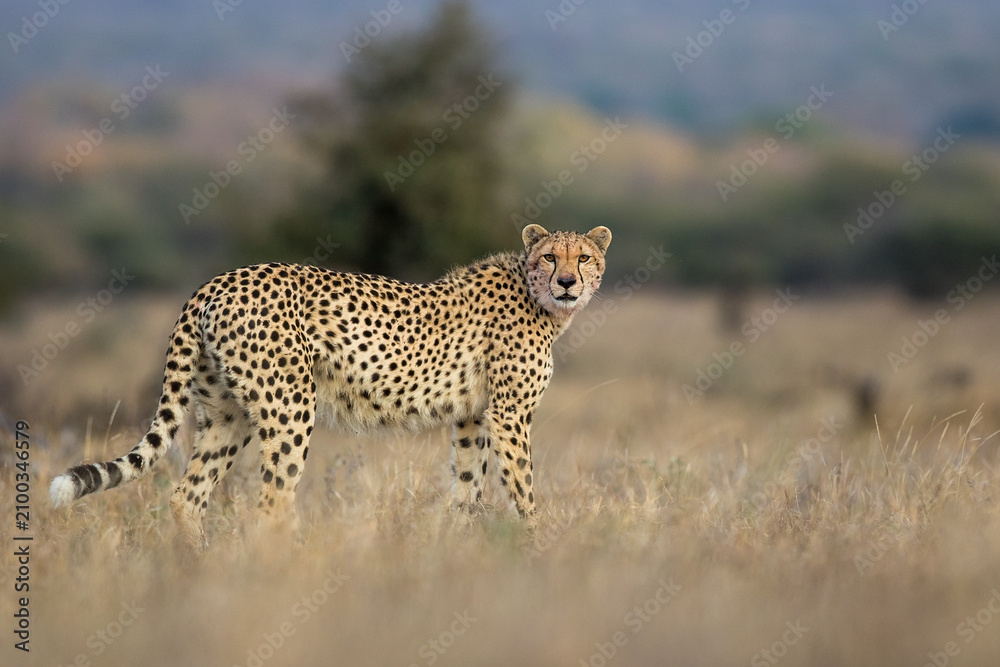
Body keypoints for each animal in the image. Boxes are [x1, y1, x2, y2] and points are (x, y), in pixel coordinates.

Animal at [49, 224, 612, 549]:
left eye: (583, 257)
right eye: (550, 257)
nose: (567, 282)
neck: (539, 299)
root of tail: (219, 279)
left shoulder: (472, 416)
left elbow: (468, 487)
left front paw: (458, 550)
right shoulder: (509, 414)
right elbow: (523, 488)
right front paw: (537, 548)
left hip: (227, 414)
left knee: (188, 496)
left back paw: (197, 569)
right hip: (290, 406)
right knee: (271, 504)